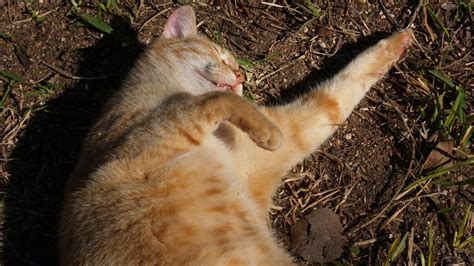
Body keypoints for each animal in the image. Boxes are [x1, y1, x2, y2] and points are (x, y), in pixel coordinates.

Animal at [59, 5, 412, 264]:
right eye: (220, 55)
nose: (241, 74)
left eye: (234, 61)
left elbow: (335, 97)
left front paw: (395, 43)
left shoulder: (293, 131)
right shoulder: (146, 139)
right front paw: (267, 131)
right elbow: (212, 100)